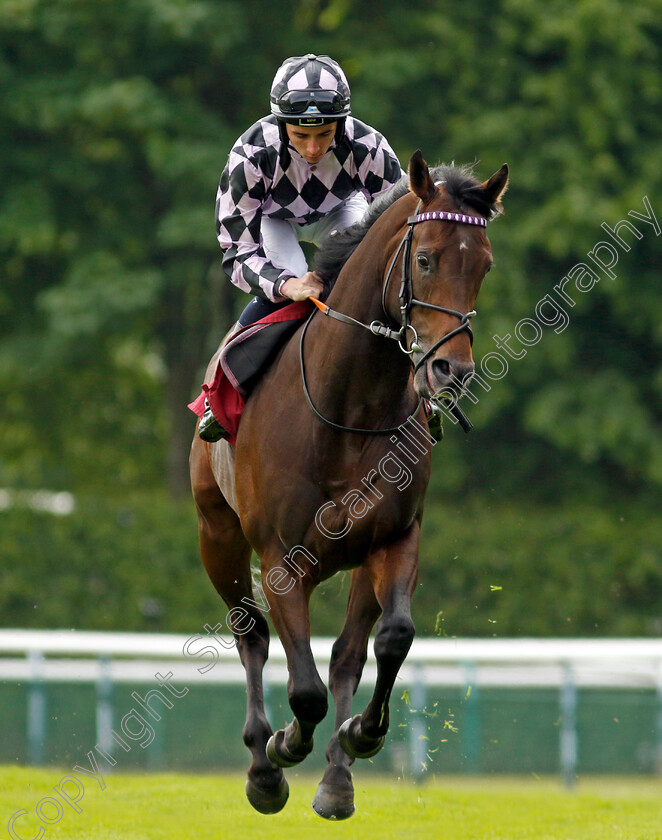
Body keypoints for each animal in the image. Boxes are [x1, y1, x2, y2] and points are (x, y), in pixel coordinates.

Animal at [189, 151, 510, 820]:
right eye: (425, 258)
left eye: (484, 265)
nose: (453, 370)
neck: (349, 406)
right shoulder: (280, 557)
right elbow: (303, 687)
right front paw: (284, 746)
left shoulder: (395, 536)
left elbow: (389, 640)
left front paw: (361, 734)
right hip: (218, 536)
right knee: (251, 638)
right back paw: (263, 766)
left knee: (345, 654)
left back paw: (337, 777)